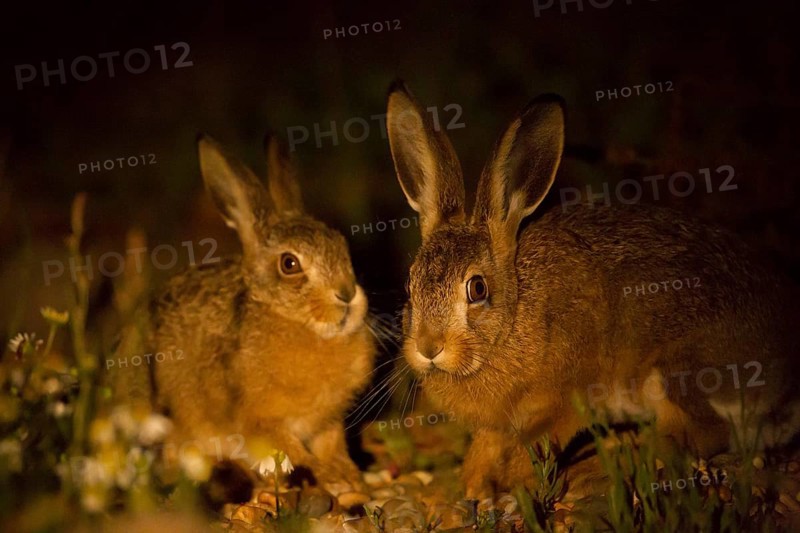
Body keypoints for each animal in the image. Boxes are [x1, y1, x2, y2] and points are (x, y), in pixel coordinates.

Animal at [144, 135, 374, 490]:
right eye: (289, 264)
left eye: (341, 245)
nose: (347, 294)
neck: (292, 320)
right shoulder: (260, 420)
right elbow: (291, 448)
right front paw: (324, 475)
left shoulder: (329, 421)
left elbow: (331, 443)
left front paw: (347, 475)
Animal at [385, 80, 800, 500]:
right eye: (409, 283)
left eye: (477, 288)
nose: (428, 347)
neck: (514, 317)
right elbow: (486, 446)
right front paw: (472, 485)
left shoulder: (566, 400)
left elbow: (533, 448)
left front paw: (514, 485)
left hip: (678, 371)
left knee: (706, 433)